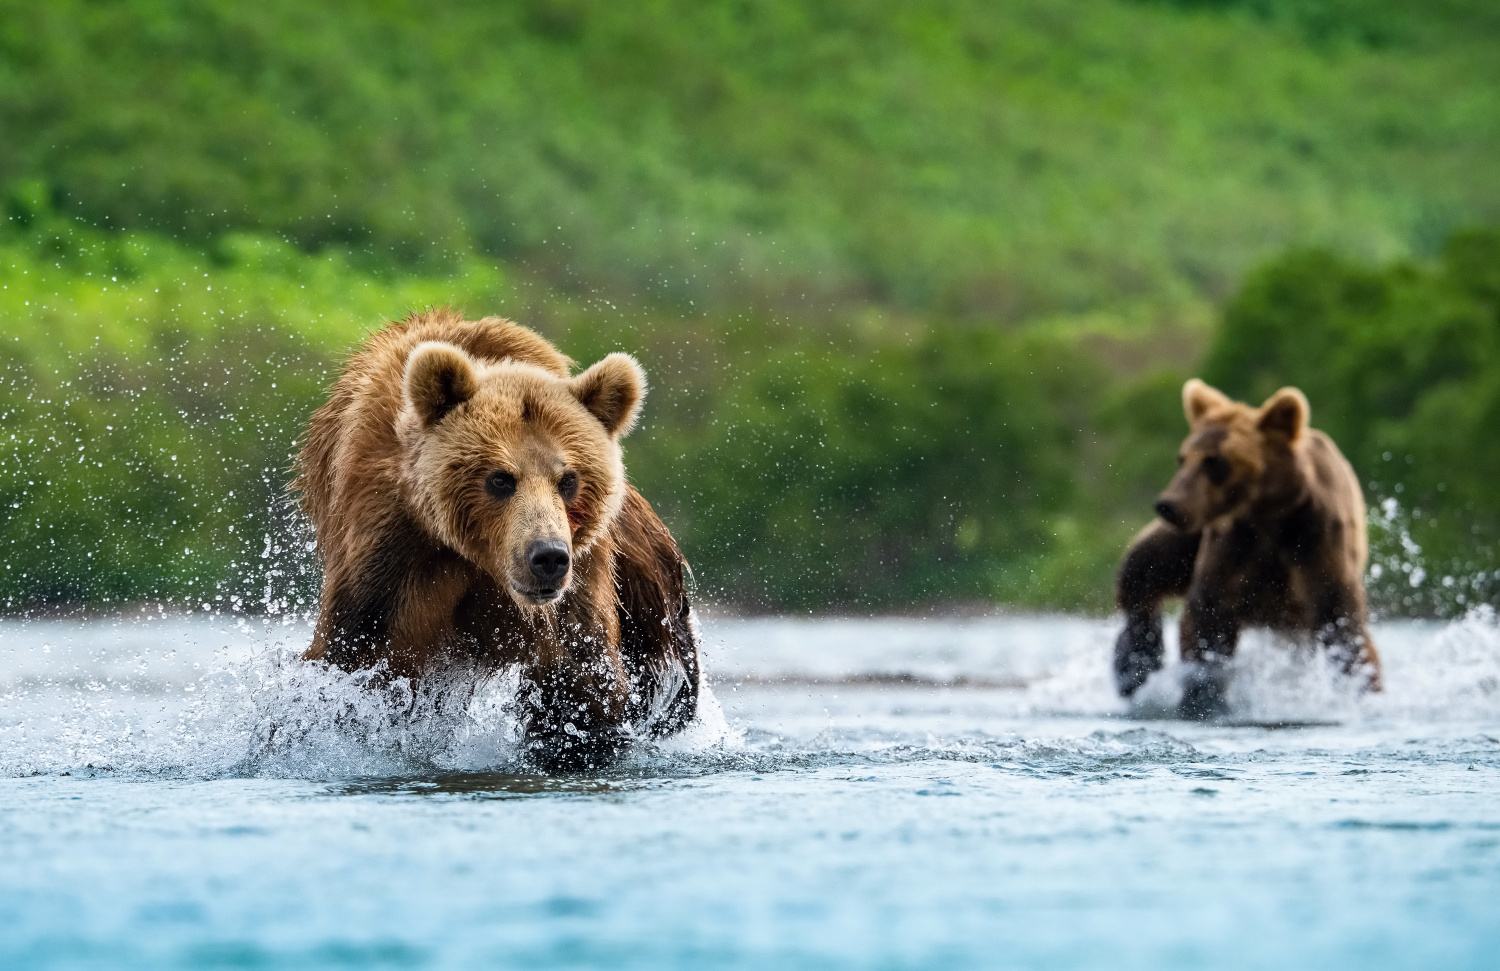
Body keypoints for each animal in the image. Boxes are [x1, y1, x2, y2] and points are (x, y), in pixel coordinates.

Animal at [295, 309, 699, 768]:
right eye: (501, 478)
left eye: (569, 479)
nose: (548, 556)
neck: (480, 559)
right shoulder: (391, 552)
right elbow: (358, 660)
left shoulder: (576, 589)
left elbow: (579, 686)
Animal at [1116, 379, 1380, 720]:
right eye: (1183, 458)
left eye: (1215, 461)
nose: (1169, 505)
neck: (1268, 516)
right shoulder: (1231, 547)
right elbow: (1207, 618)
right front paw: (1203, 696)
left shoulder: (1316, 545)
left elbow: (1341, 621)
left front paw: (1361, 688)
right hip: (1191, 539)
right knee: (1143, 569)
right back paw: (1133, 664)